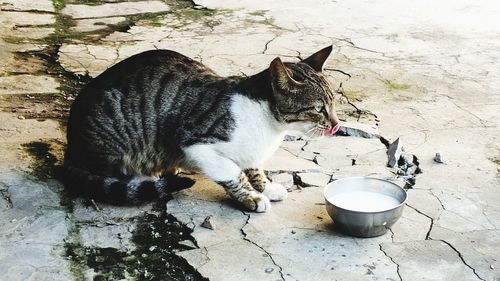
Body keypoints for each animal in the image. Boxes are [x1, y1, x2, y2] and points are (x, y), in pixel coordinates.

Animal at [63, 44, 340, 211]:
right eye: (318, 108)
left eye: (332, 103)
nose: (336, 126)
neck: (270, 127)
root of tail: (71, 147)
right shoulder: (195, 143)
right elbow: (232, 172)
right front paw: (250, 196)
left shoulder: (251, 152)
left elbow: (254, 168)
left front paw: (265, 186)